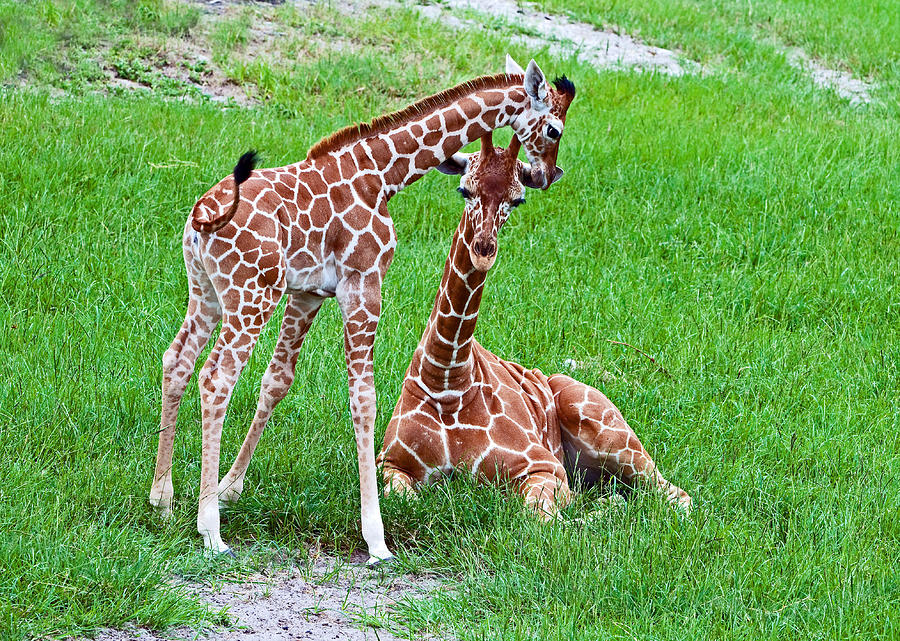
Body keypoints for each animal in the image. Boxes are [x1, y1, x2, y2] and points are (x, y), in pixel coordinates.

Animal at [149, 56, 576, 564]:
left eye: (515, 195)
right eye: (553, 128)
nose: (548, 174)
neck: (383, 173)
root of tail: (201, 219)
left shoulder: (310, 292)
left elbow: (277, 381)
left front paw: (231, 489)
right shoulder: (364, 283)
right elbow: (364, 399)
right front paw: (377, 538)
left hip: (207, 292)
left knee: (176, 361)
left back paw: (162, 500)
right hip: (251, 295)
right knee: (216, 379)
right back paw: (210, 532)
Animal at [376, 132, 692, 516]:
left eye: (518, 199)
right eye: (464, 189)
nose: (484, 250)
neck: (447, 380)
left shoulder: (544, 466)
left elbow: (541, 518)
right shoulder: (390, 463)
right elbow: (401, 496)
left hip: (607, 429)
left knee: (676, 498)